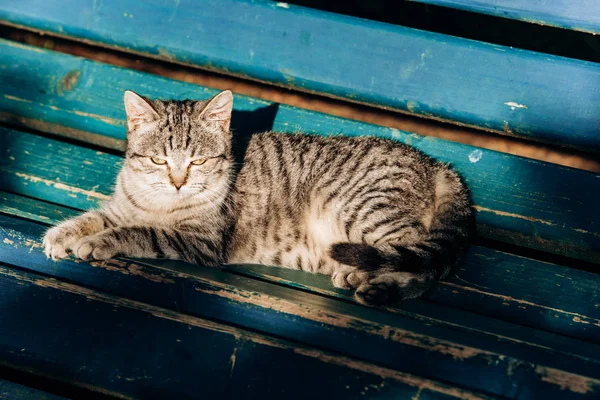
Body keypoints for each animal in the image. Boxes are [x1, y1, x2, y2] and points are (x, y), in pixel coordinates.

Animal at [43, 89, 474, 304]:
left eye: (199, 160)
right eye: (157, 159)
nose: (179, 182)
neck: (161, 203)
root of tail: (435, 163)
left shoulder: (200, 241)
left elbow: (138, 232)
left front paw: (98, 243)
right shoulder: (123, 207)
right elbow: (99, 217)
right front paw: (63, 233)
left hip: (363, 210)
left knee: (422, 266)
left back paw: (381, 285)